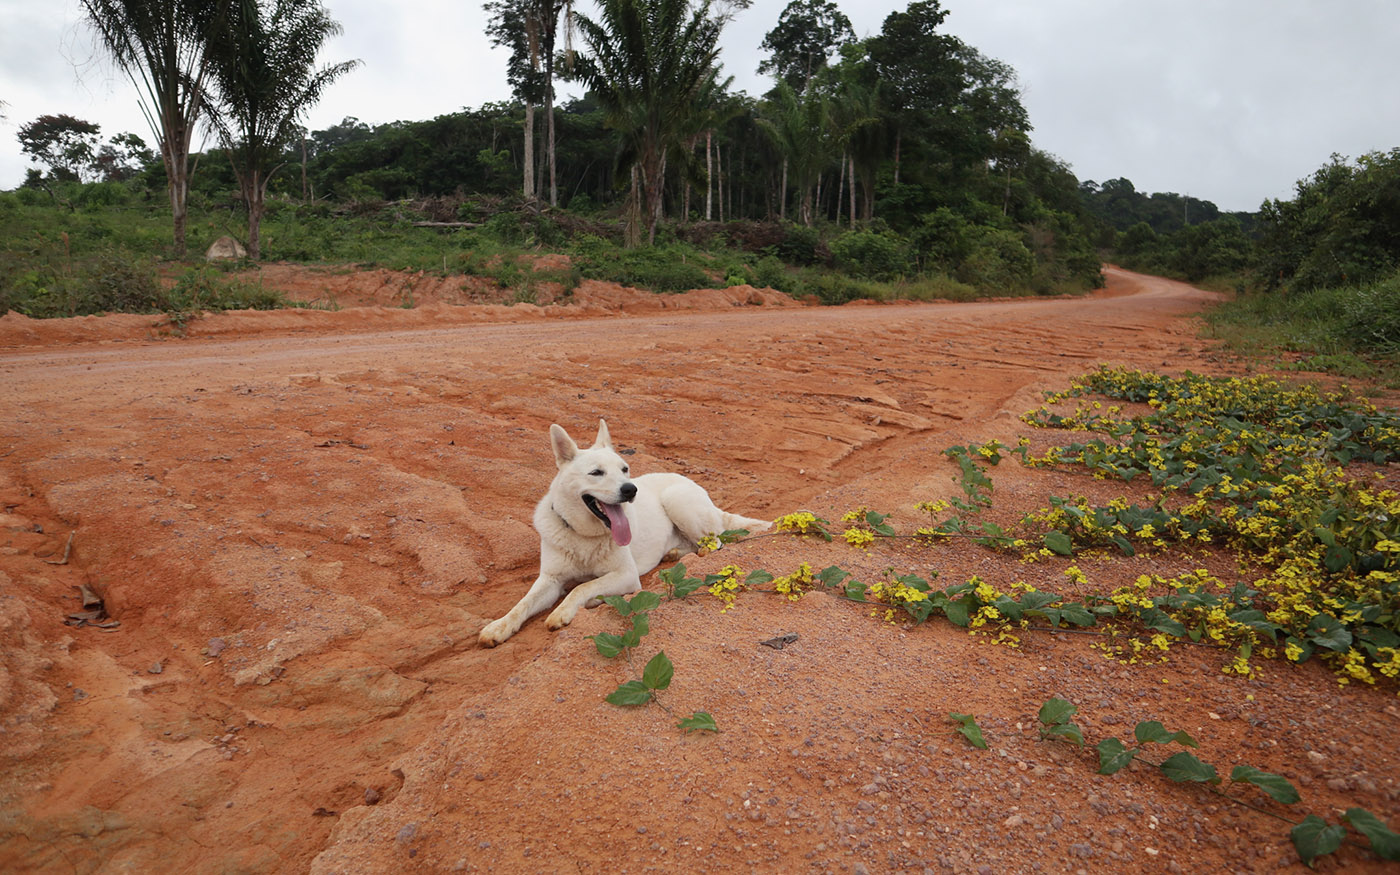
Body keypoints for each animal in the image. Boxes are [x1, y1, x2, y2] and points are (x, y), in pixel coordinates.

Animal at [478, 420, 767, 644]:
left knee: (714, 543)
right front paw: (499, 626)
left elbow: (582, 587)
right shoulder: (550, 579)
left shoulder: (626, 575)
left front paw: (565, 611)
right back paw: (674, 553)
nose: (631, 490)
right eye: (596, 472)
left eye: (624, 469)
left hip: (677, 500)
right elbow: (523, 604)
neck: (584, 537)